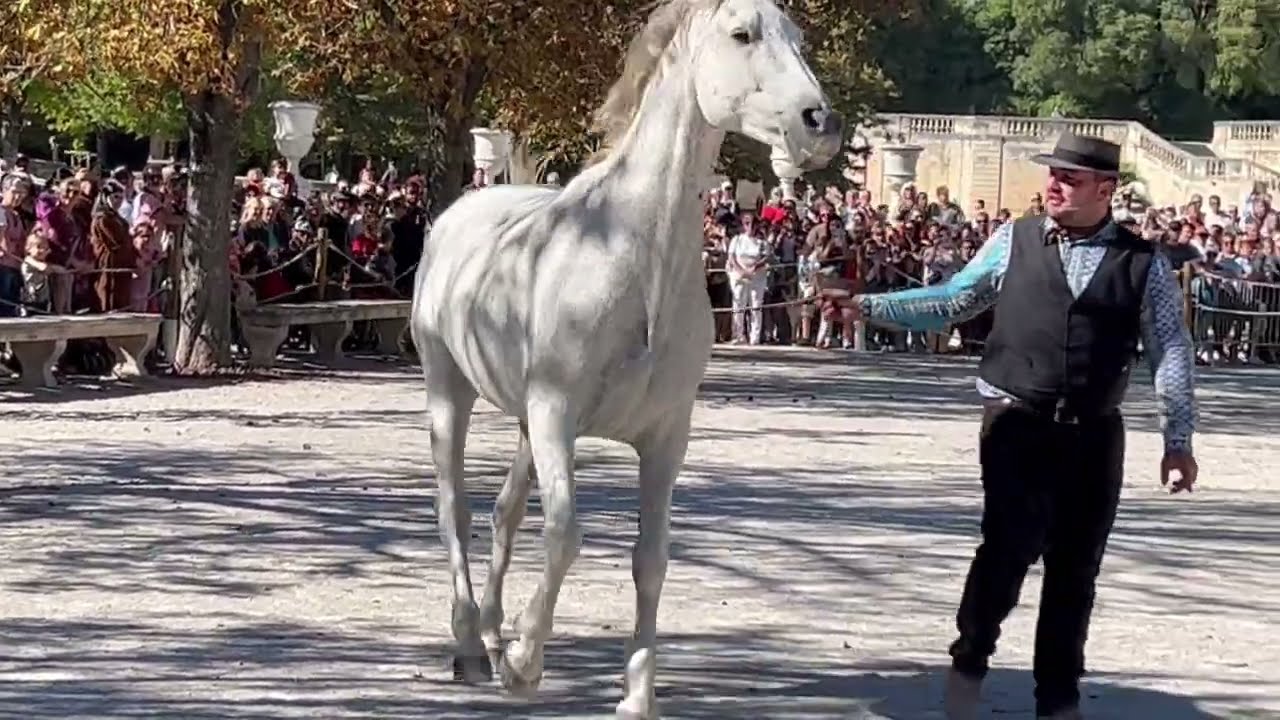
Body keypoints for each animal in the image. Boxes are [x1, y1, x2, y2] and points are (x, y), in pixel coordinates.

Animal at [410, 1, 843, 716]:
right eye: (741, 34)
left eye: (800, 39)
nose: (820, 124)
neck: (633, 261)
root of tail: (455, 217)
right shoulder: (556, 415)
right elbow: (565, 534)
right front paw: (525, 665)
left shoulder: (665, 436)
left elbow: (651, 559)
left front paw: (636, 694)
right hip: (450, 389)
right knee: (457, 508)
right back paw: (474, 647)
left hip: (523, 423)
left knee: (503, 511)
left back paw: (495, 632)